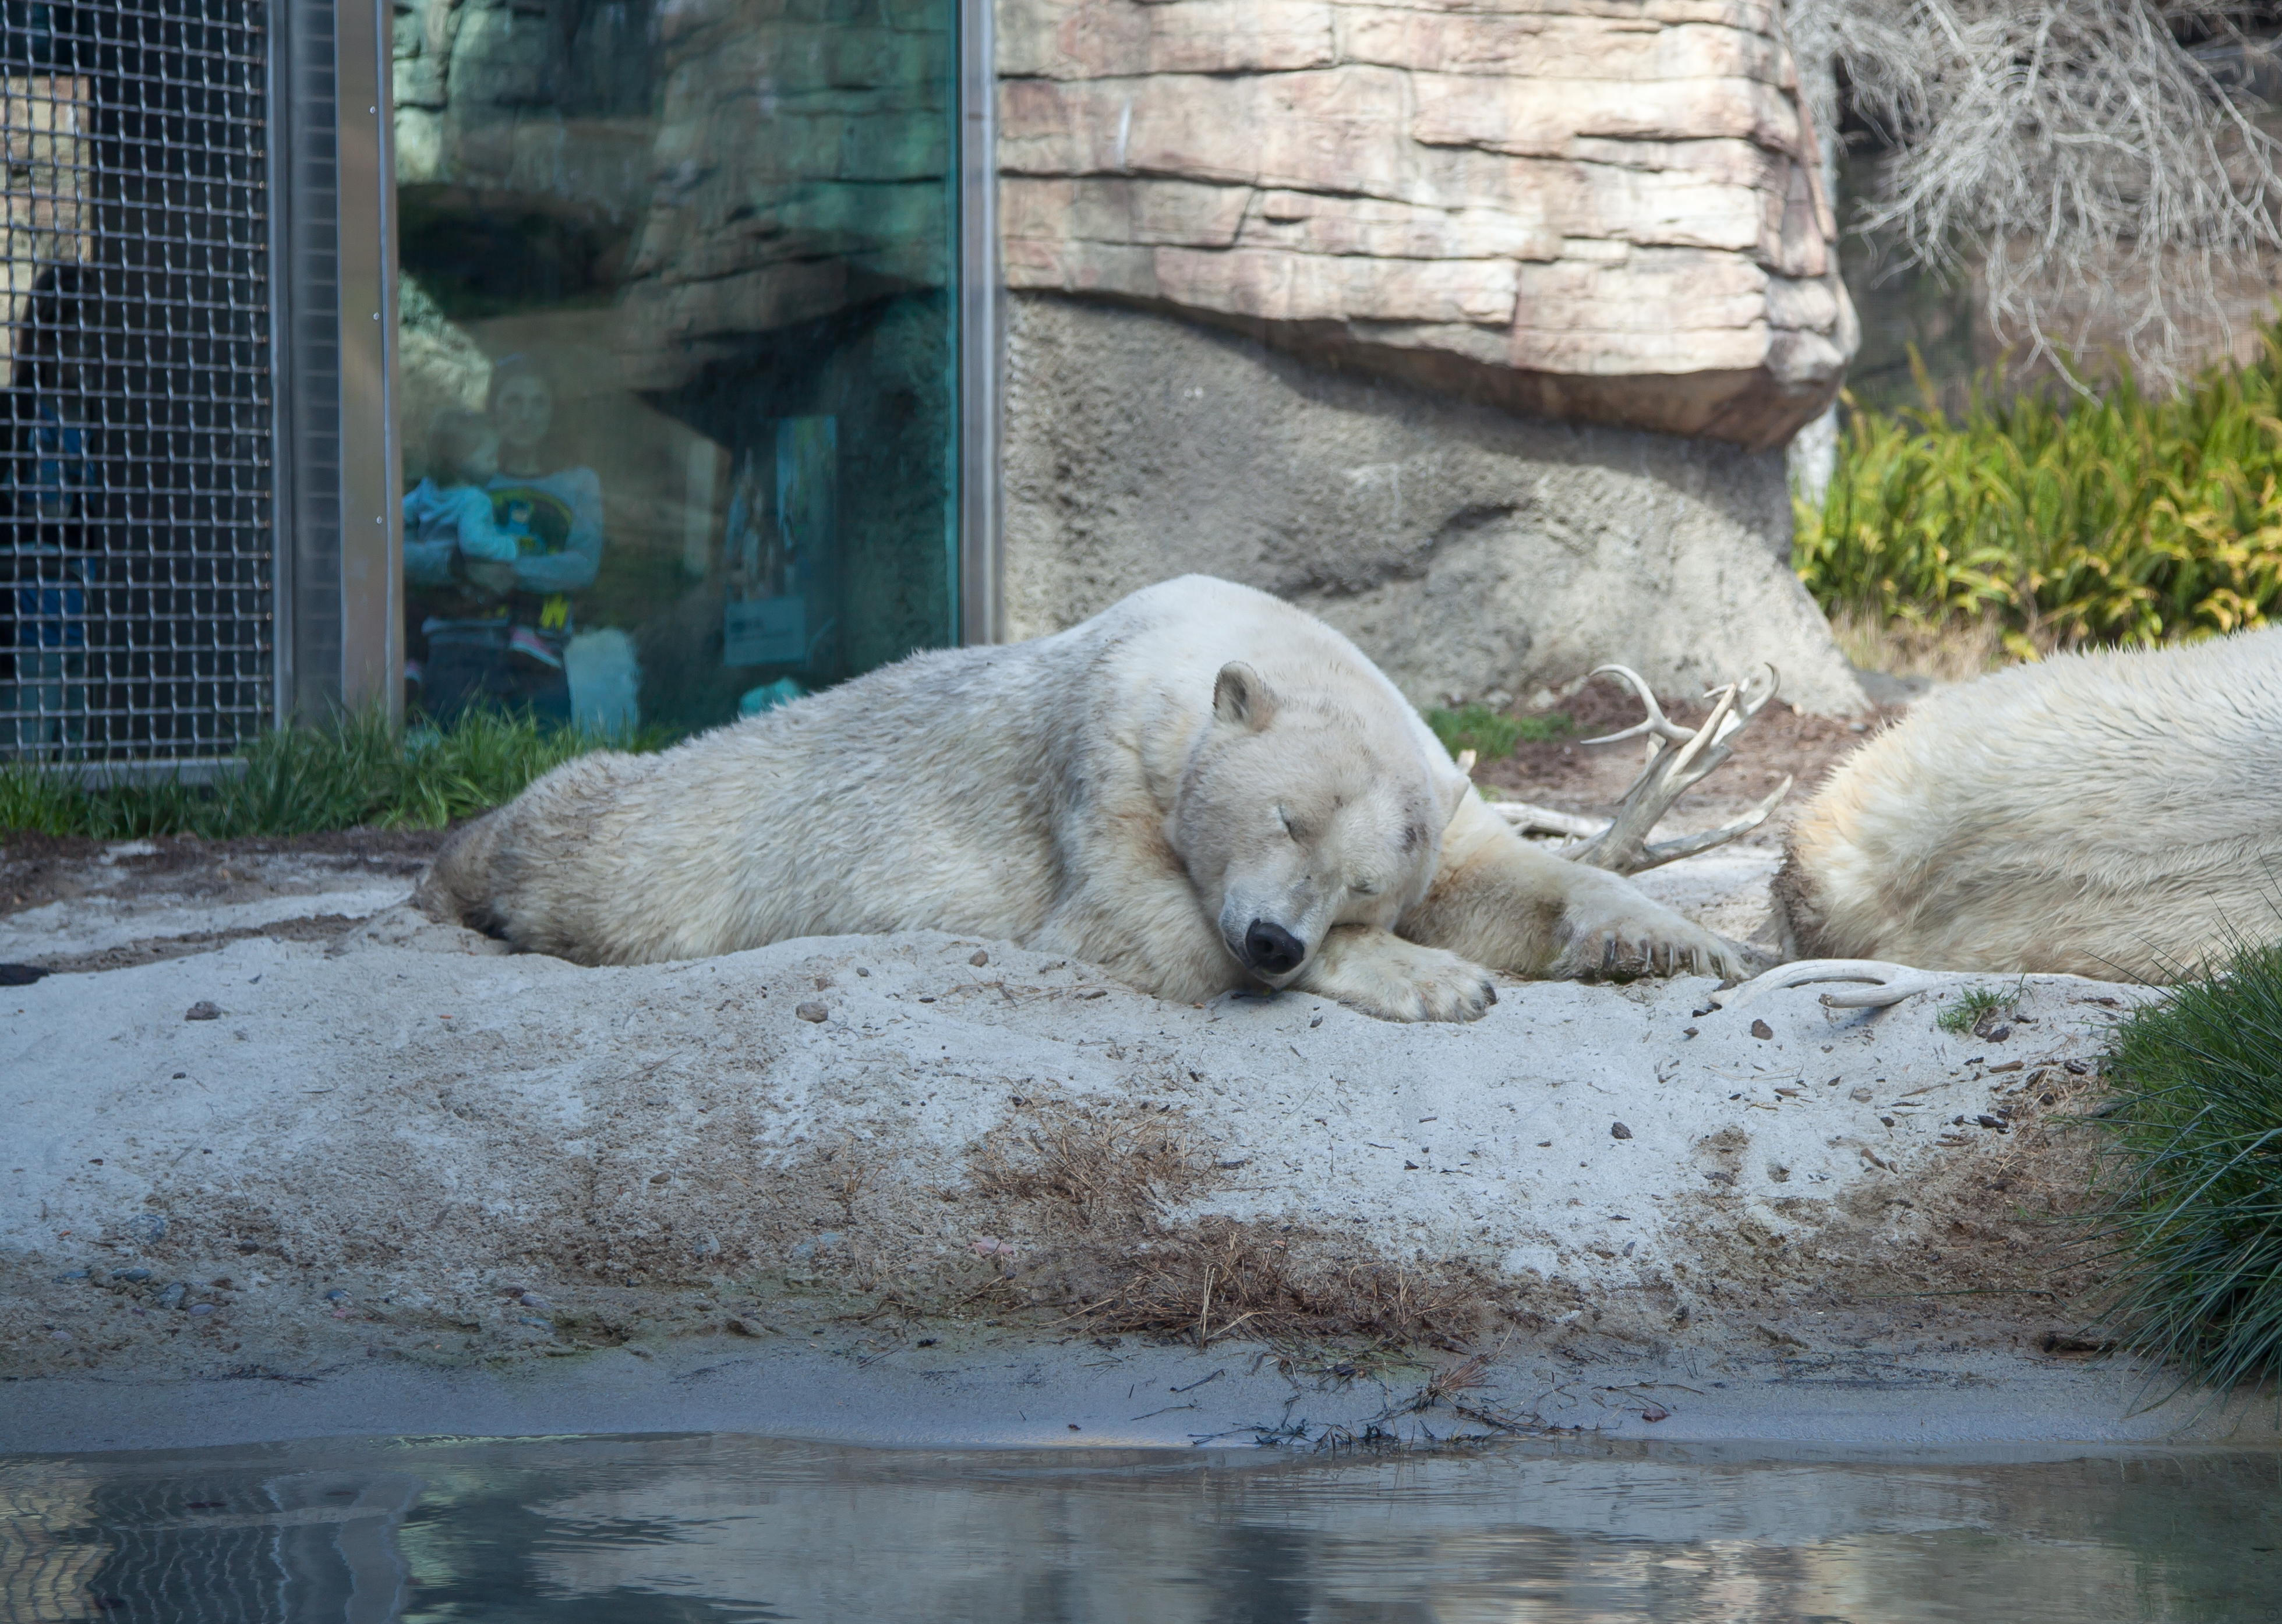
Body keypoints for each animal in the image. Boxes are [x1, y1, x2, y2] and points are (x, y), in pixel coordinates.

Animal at [419, 577, 1734, 1021]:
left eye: (1364, 881)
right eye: (1286, 818)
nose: (1275, 936)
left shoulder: (1431, 785)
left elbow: (1498, 875)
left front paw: (1669, 939)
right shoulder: (1103, 751)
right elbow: (1131, 923)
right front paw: (1435, 979)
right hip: (684, 834)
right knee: (590, 844)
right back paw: (456, 870)